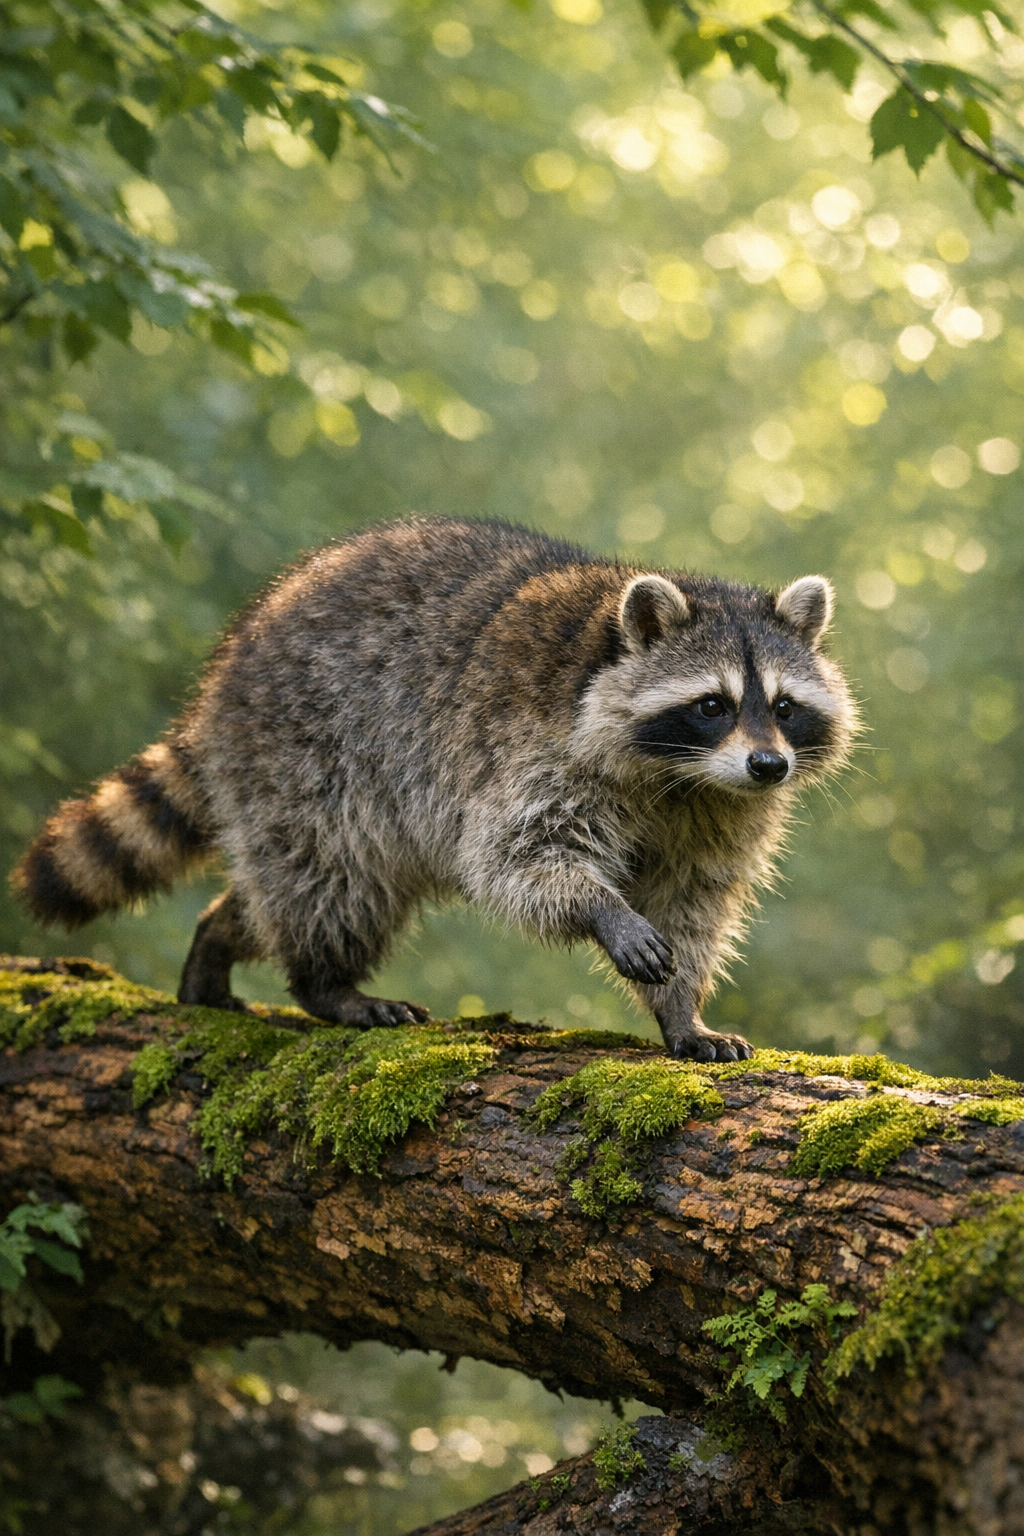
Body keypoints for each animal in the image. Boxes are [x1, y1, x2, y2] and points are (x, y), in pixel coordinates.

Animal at [11, 517, 856, 1061]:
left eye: (784, 707)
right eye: (713, 705)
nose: (770, 767)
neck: (681, 777)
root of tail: (233, 657)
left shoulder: (720, 812)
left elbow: (694, 901)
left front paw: (683, 1008)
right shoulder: (529, 751)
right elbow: (517, 859)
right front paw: (603, 909)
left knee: (288, 884)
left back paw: (220, 934)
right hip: (306, 748)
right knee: (333, 877)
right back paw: (325, 983)